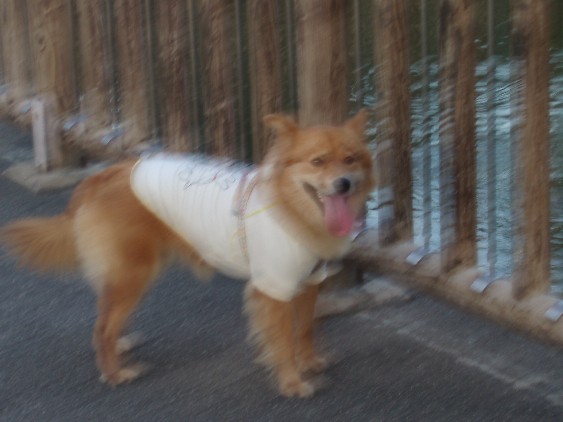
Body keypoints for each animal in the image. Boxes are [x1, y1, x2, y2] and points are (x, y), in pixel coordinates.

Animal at [1, 110, 375, 397]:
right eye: (317, 162)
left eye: (350, 159)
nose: (343, 183)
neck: (290, 204)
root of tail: (98, 179)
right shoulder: (274, 289)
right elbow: (282, 342)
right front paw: (292, 382)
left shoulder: (308, 281)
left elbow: (306, 329)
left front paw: (309, 362)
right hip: (134, 274)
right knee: (102, 327)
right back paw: (115, 373)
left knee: (106, 318)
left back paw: (119, 348)